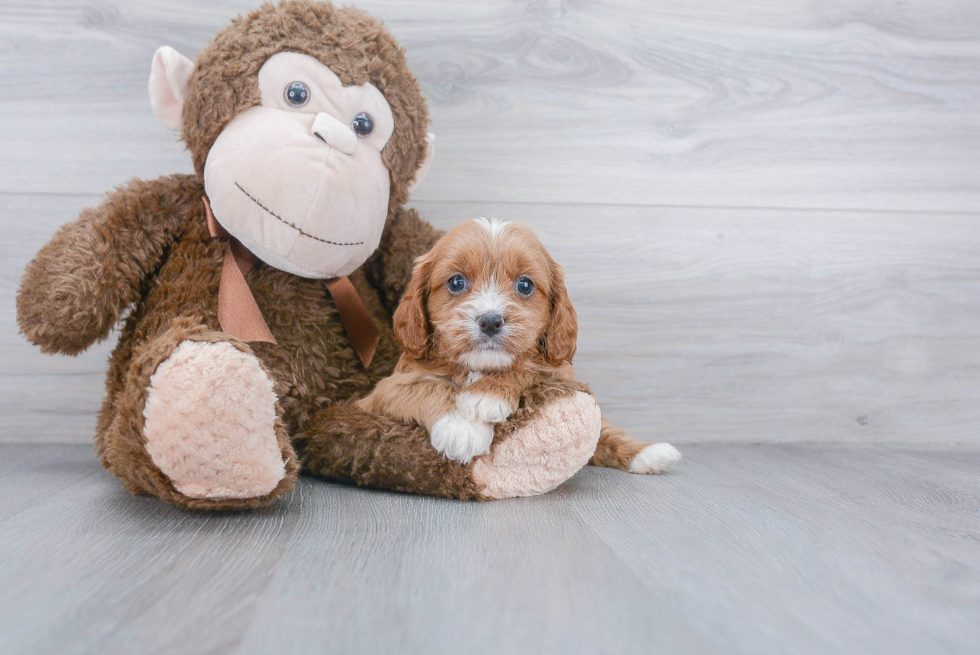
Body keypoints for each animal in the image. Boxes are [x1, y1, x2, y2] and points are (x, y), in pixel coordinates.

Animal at [358, 218, 680, 474]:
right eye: (456, 282)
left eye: (525, 285)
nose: (490, 321)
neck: (479, 368)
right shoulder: (383, 391)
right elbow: (427, 386)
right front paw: (461, 427)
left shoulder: (557, 373)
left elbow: (533, 374)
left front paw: (486, 395)